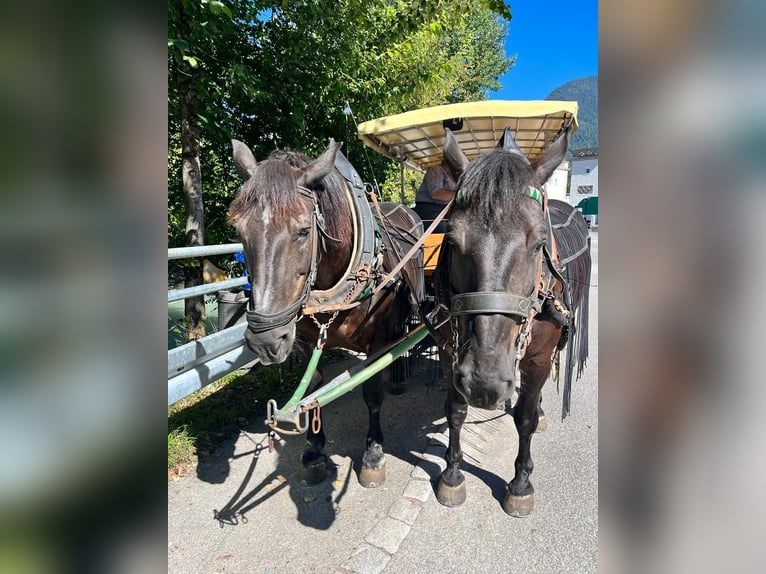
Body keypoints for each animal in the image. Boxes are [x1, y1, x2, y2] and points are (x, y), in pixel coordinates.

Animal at [226, 137, 426, 488]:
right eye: (238, 228)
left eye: (304, 230)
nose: (265, 340)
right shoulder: (307, 342)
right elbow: (313, 389)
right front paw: (313, 452)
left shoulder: (378, 339)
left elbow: (372, 393)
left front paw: (373, 454)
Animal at [432, 127, 592, 516]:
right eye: (451, 239)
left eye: (538, 244)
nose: (484, 383)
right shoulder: (449, 352)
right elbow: (455, 410)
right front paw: (452, 475)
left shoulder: (536, 358)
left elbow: (525, 418)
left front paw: (520, 483)